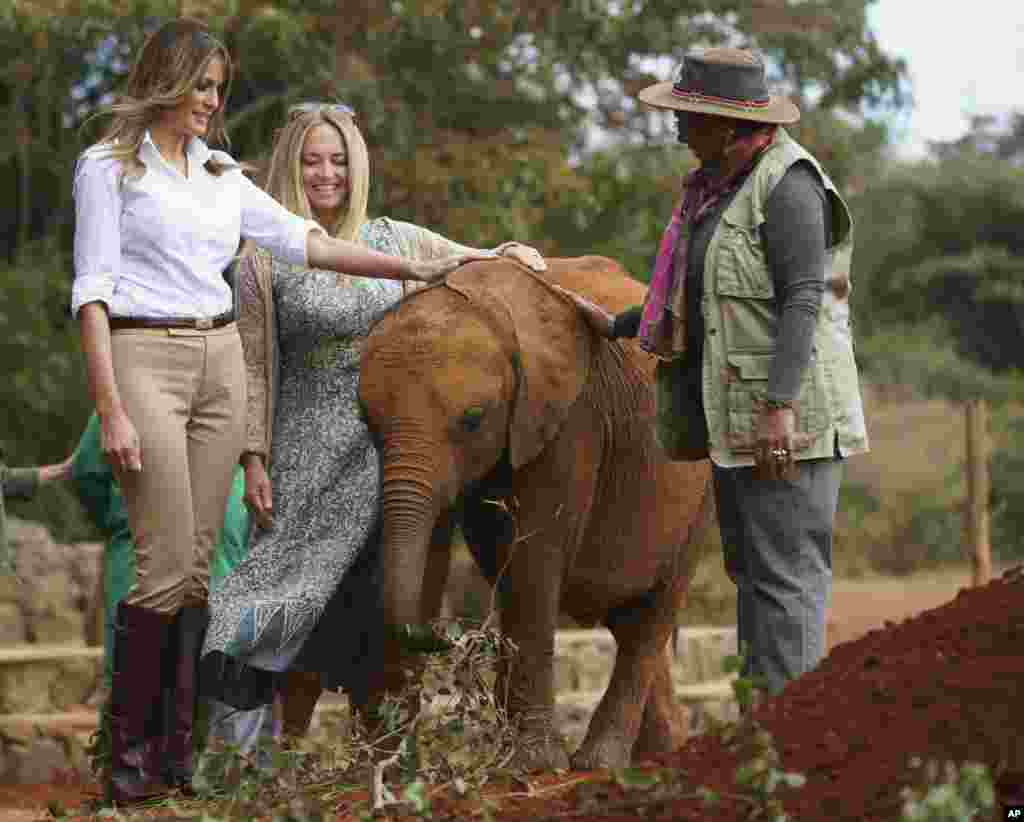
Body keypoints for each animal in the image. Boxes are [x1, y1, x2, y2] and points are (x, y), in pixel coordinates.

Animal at [358, 258, 712, 769]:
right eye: (366, 420)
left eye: (472, 419)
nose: (448, 636)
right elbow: (435, 554)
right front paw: (389, 769)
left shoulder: (568, 419)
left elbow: (533, 558)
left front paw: (533, 764)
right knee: (628, 619)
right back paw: (661, 757)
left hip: (703, 489)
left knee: (653, 613)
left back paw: (598, 764)